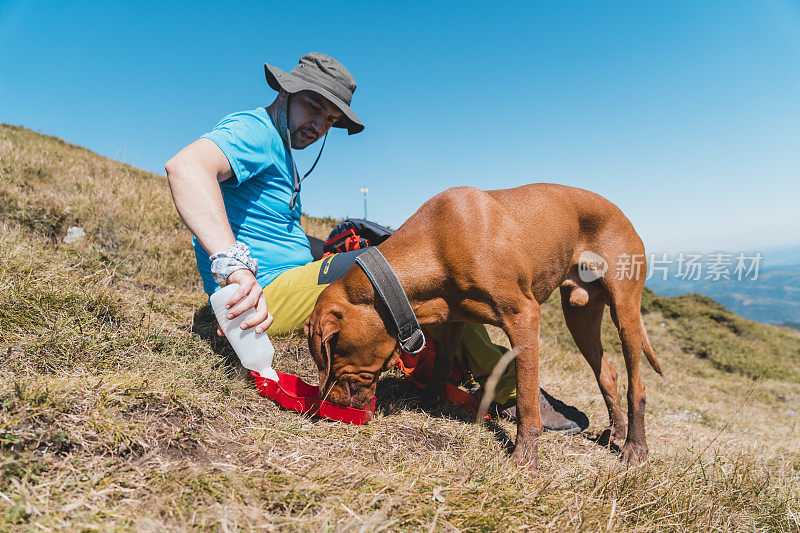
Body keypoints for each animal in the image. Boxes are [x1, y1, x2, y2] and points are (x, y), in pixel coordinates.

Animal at [304, 183, 660, 466]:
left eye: (329, 349)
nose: (325, 404)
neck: (438, 242)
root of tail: (622, 213)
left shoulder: (524, 317)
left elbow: (527, 395)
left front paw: (525, 455)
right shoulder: (455, 317)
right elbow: (441, 365)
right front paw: (429, 402)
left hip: (625, 309)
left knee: (637, 386)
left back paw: (635, 447)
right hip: (580, 315)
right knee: (608, 375)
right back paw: (616, 431)